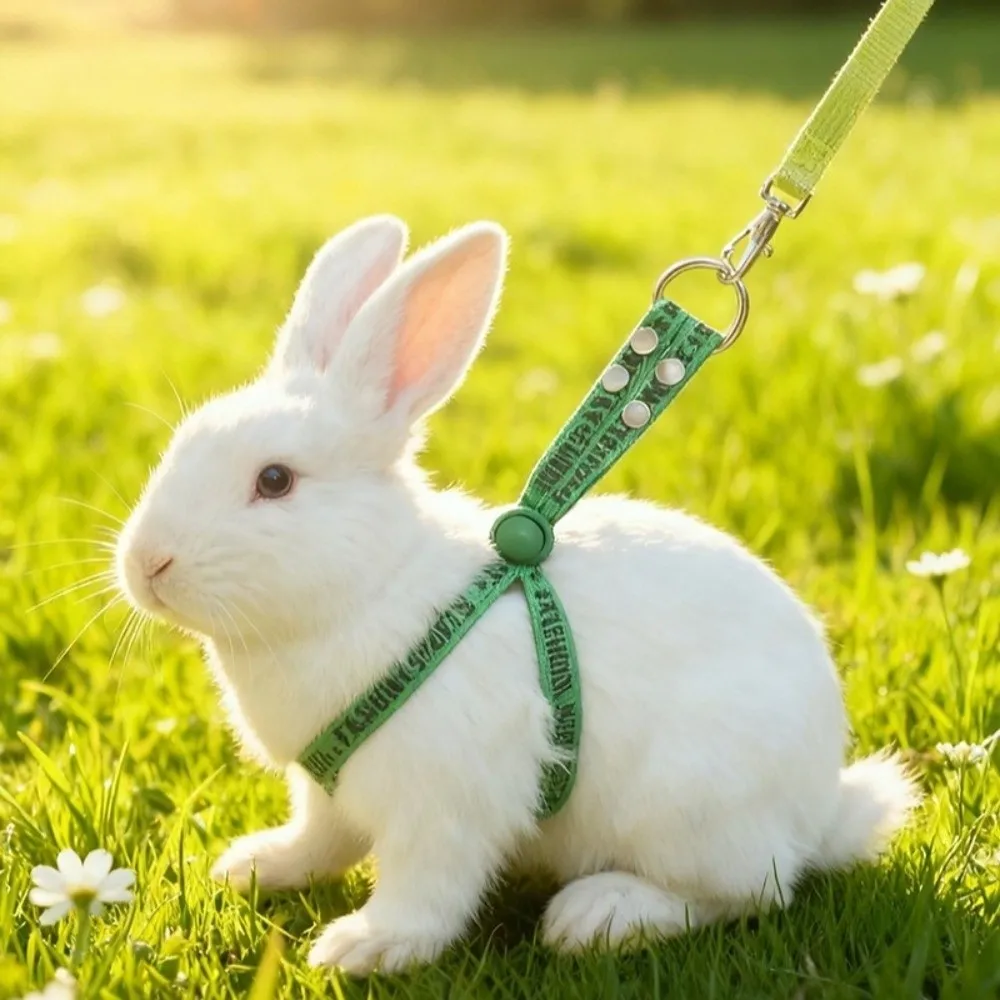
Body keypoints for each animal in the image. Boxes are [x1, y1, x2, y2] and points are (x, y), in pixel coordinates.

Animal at [115, 214, 917, 975]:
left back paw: (599, 916)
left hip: (691, 807)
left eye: (275, 480)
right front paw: (256, 865)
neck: (377, 586)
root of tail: (821, 809)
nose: (146, 563)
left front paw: (365, 947)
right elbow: (321, 838)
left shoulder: (444, 797)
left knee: (747, 891)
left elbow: (427, 886)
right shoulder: (328, 788)